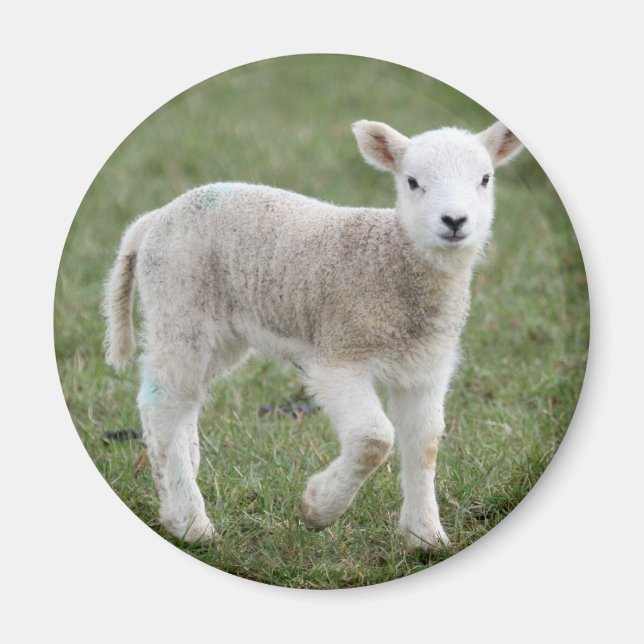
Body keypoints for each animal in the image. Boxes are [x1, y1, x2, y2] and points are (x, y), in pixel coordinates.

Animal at [103, 119, 523, 552]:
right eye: (412, 182)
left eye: (485, 179)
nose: (454, 221)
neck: (393, 262)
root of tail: (153, 220)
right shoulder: (338, 357)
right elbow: (374, 439)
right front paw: (318, 508)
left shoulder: (426, 367)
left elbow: (425, 443)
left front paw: (425, 537)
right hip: (179, 304)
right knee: (165, 401)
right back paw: (190, 521)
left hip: (218, 332)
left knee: (179, 399)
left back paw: (175, 494)